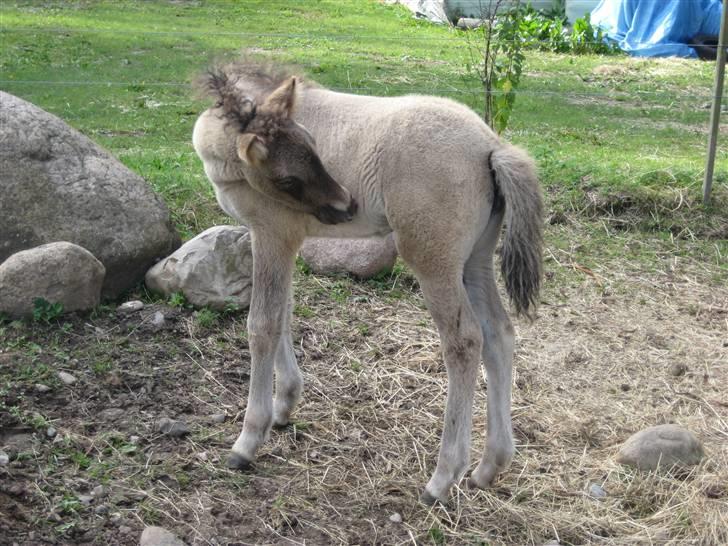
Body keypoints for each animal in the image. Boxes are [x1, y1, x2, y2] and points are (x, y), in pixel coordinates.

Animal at [191, 63, 544, 502]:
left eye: (313, 150)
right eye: (291, 177)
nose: (346, 205)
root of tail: (491, 145)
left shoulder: (272, 233)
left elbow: (263, 325)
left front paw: (249, 437)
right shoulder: (287, 242)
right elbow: (285, 312)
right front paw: (285, 404)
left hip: (433, 260)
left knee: (464, 341)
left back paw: (443, 477)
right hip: (475, 259)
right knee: (499, 333)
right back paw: (490, 465)